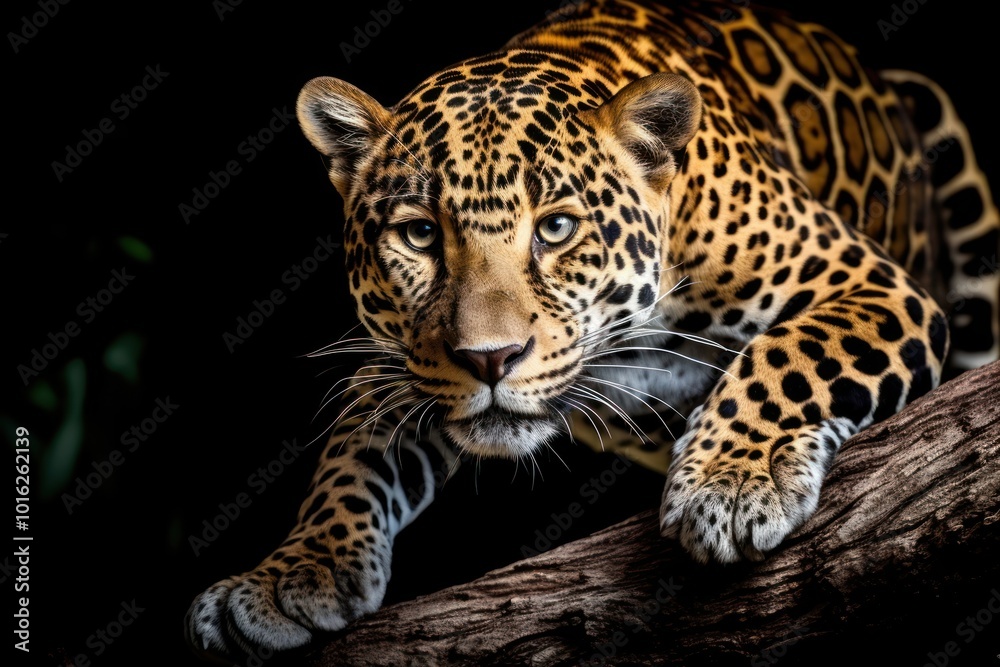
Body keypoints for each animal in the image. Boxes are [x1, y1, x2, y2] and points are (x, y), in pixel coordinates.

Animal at [186, 0, 999, 660]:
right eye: (419, 234)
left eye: (556, 228)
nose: (490, 359)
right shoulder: (400, 364)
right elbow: (348, 457)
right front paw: (294, 571)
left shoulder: (866, 280)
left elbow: (787, 357)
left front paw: (731, 481)